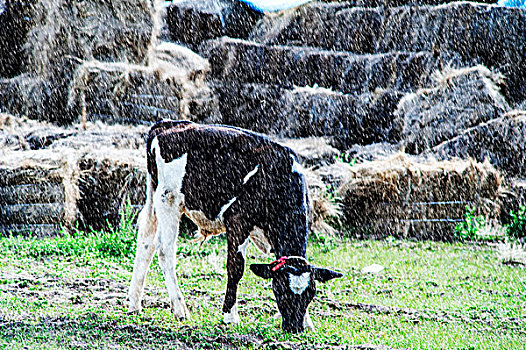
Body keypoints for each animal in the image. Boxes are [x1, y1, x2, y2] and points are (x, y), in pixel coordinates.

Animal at [130, 120, 344, 334]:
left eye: (311, 293)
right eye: (279, 289)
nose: (294, 327)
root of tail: (167, 124)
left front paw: (308, 322)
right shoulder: (238, 221)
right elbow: (236, 267)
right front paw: (230, 316)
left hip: (153, 195)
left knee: (146, 240)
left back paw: (134, 303)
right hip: (169, 200)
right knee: (165, 250)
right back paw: (180, 308)